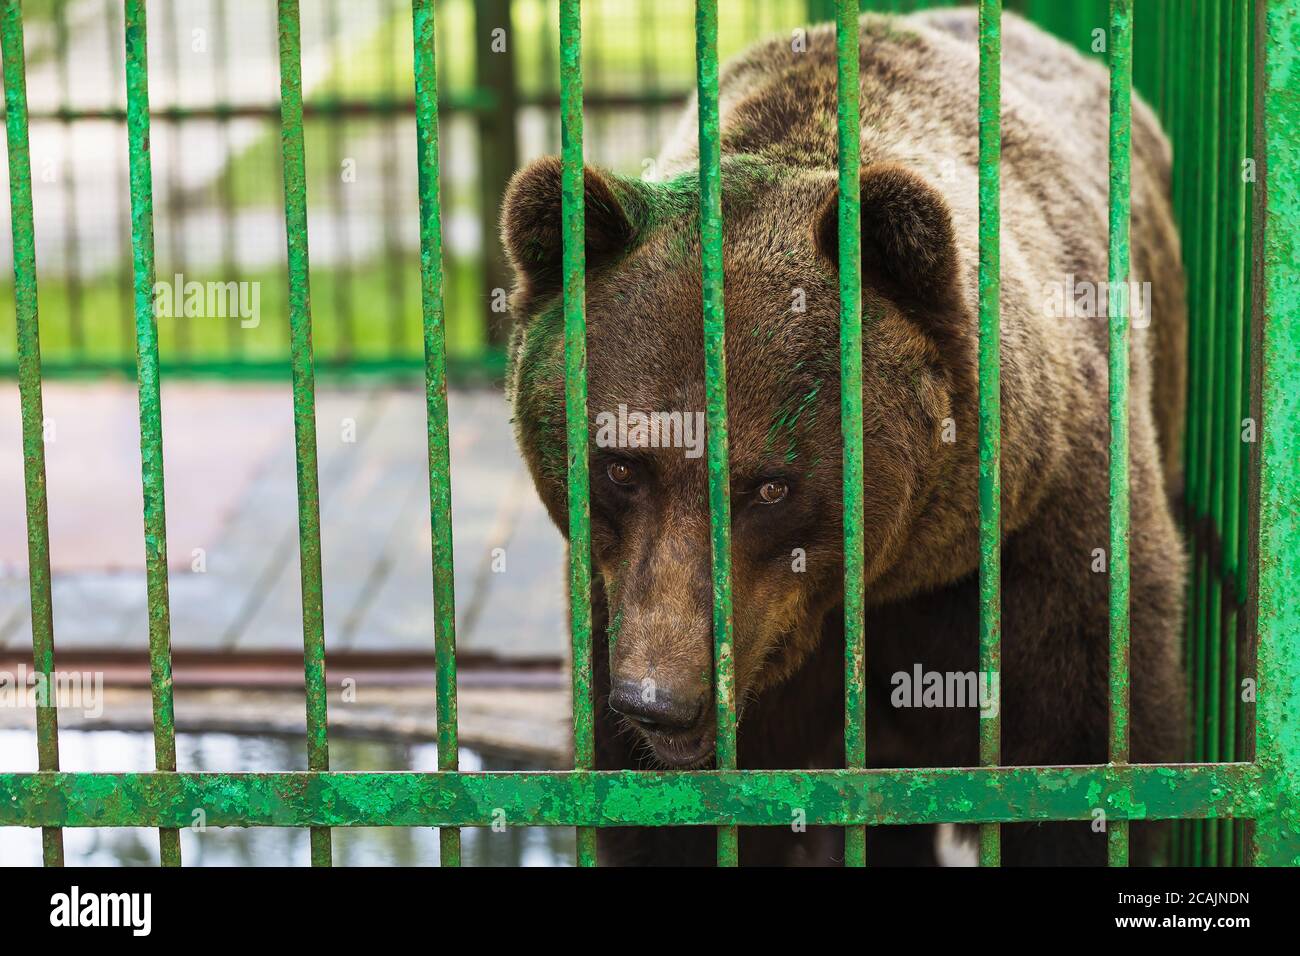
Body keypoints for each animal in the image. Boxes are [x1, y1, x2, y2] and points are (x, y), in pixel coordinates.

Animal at [500, 9, 1186, 865]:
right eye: (621, 464)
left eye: (770, 485)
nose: (659, 699)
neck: (880, 584)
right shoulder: (613, 601)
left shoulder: (1043, 550)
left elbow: (1074, 778)